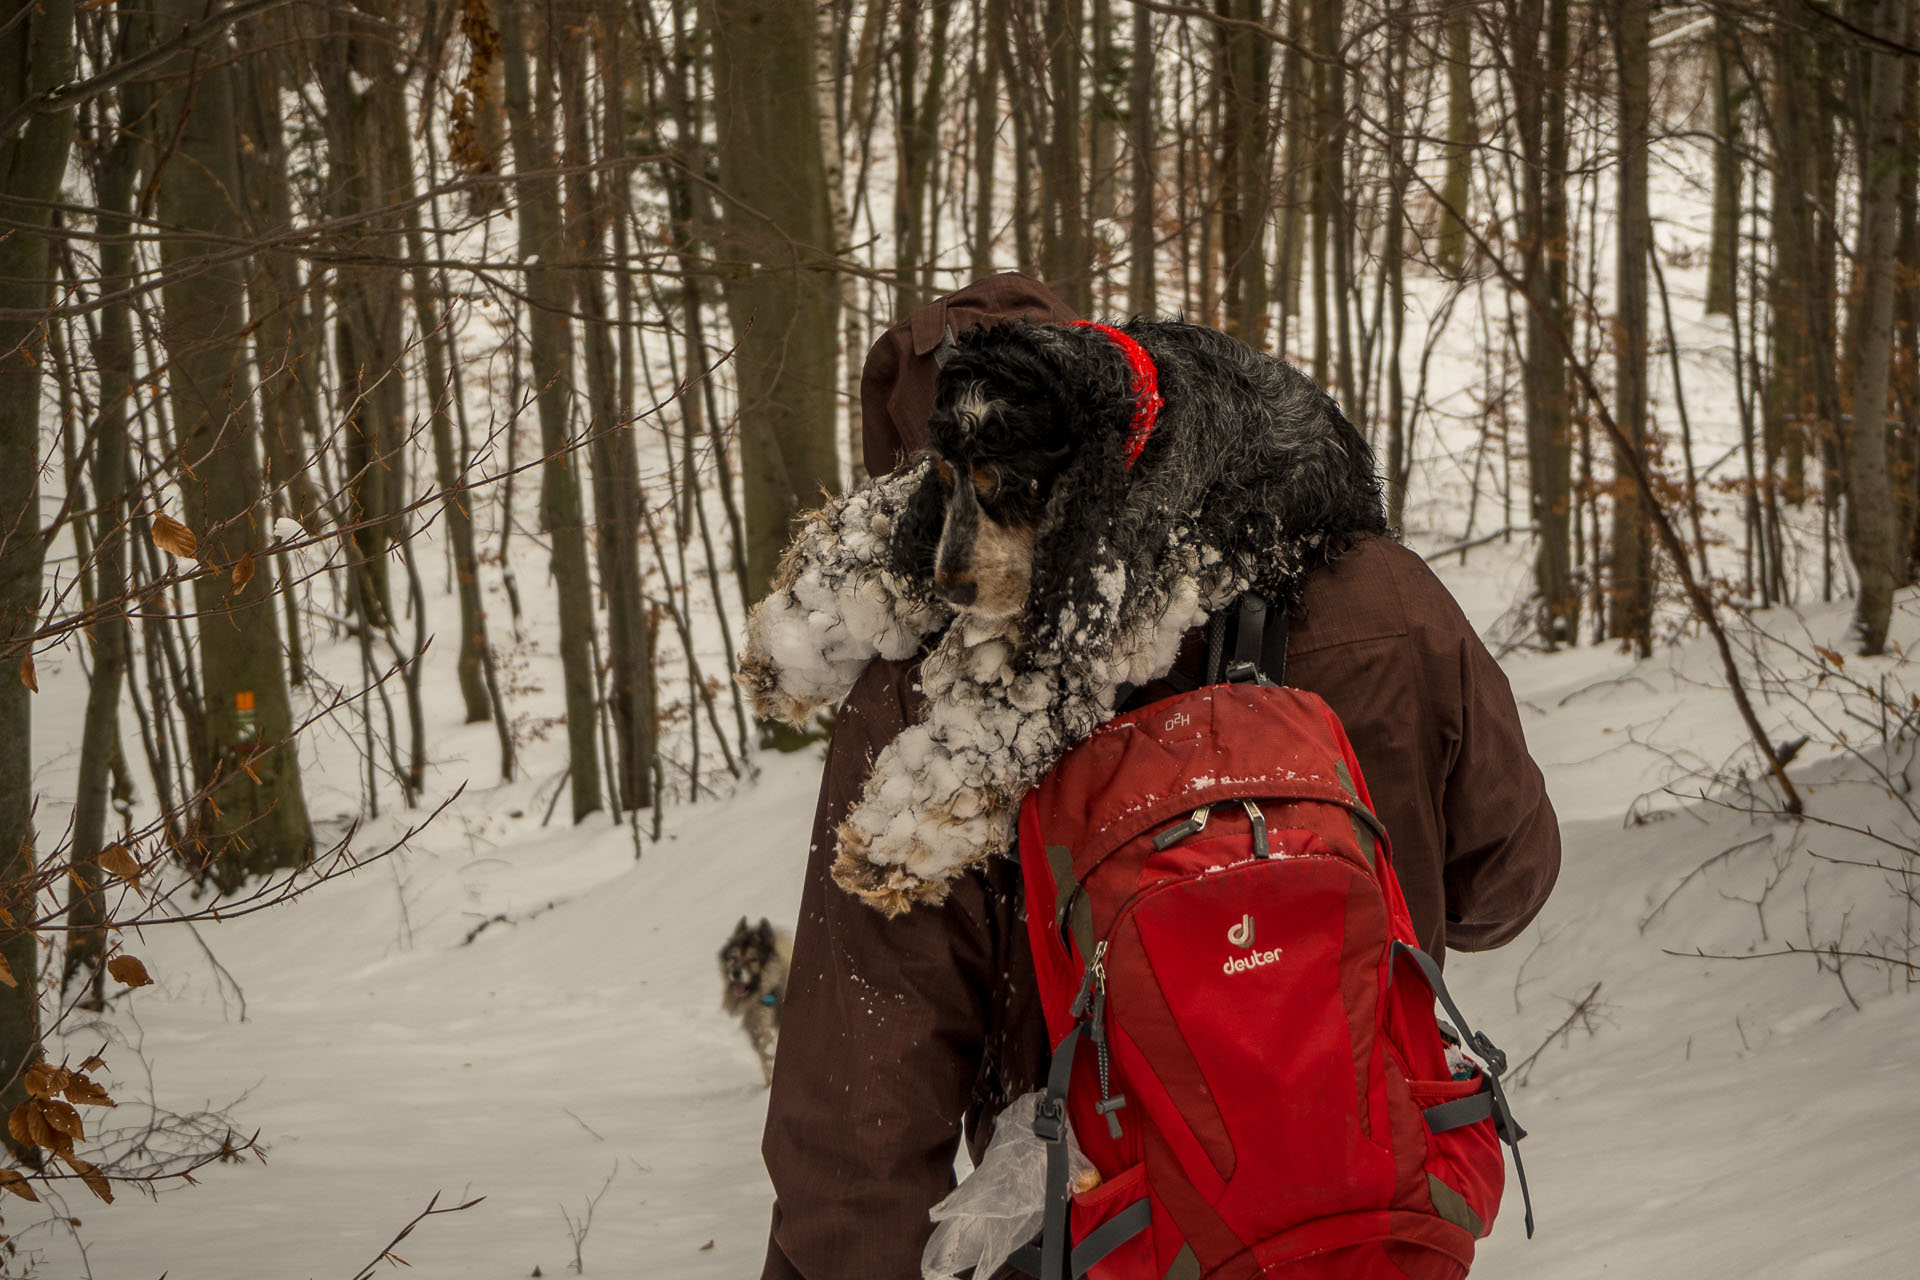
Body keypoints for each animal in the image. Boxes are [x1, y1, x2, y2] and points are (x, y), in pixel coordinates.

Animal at [733, 320, 1382, 917]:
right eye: (945, 475)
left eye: (1005, 481)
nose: (951, 587)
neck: (1138, 416)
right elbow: (886, 521)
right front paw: (786, 649)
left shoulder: (1095, 606)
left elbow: (981, 729)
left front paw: (891, 846)